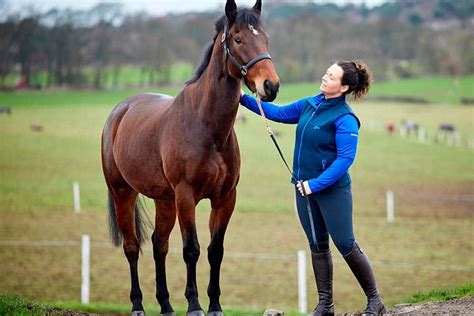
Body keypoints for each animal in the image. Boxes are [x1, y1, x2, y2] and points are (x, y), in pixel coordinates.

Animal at [99, 1, 278, 314]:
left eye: (265, 39)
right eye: (238, 39)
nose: (271, 86)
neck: (205, 125)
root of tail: (119, 111)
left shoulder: (225, 197)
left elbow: (215, 250)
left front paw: (215, 304)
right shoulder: (186, 196)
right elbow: (191, 249)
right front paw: (194, 304)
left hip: (164, 200)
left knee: (159, 244)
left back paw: (166, 305)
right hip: (124, 193)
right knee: (132, 246)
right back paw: (138, 304)